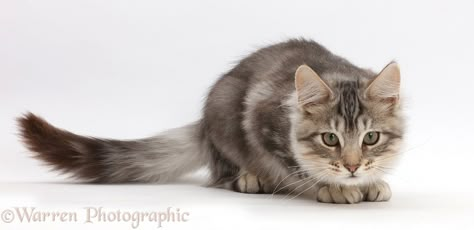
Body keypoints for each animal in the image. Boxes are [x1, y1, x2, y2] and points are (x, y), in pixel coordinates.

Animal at [17, 38, 404, 204]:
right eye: (330, 139)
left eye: (371, 138)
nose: (352, 167)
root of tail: (202, 124)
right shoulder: (261, 120)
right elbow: (297, 170)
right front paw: (332, 187)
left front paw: (371, 181)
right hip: (224, 118)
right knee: (222, 173)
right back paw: (250, 178)